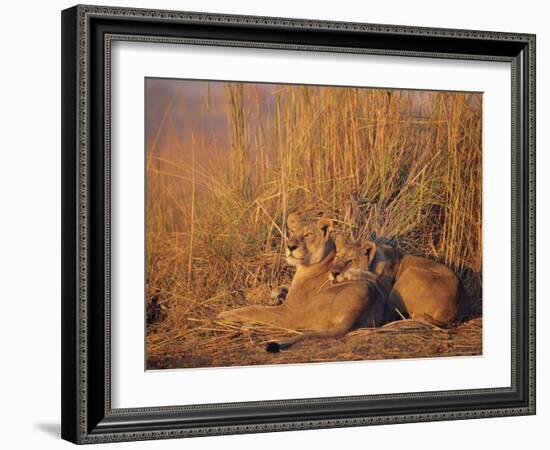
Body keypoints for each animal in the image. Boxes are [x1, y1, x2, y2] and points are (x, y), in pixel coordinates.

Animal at [216, 213, 392, 354]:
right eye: (292, 232)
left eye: (308, 235)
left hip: (297, 313)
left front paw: (224, 315)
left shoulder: (288, 309)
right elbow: (282, 288)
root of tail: (356, 310)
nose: (290, 246)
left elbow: (254, 309)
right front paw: (275, 294)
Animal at [332, 236, 466, 326]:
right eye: (337, 257)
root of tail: (450, 310)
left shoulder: (386, 289)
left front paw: (351, 273)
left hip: (408, 274)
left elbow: (373, 277)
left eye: (351, 261)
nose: (333, 273)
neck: (374, 263)